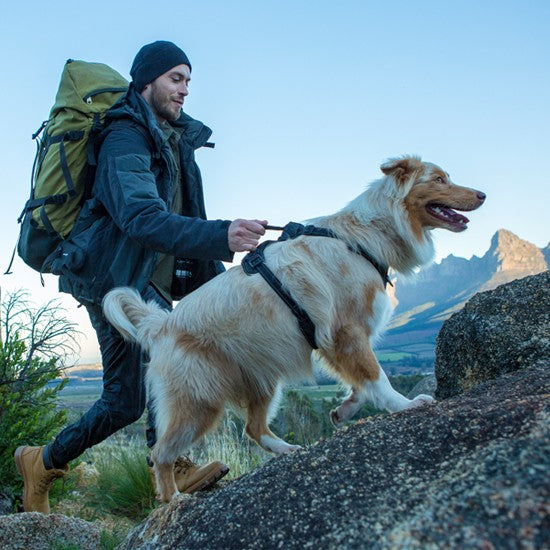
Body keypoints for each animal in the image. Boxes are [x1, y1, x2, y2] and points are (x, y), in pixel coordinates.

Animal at [103, 156, 488, 504]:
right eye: (439, 179)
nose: (483, 194)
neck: (367, 235)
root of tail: (160, 324)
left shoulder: (334, 339)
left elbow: (360, 379)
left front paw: (346, 409)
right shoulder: (345, 331)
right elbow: (377, 377)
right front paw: (404, 405)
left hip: (262, 380)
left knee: (253, 428)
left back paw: (287, 449)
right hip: (198, 401)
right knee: (161, 453)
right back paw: (173, 500)